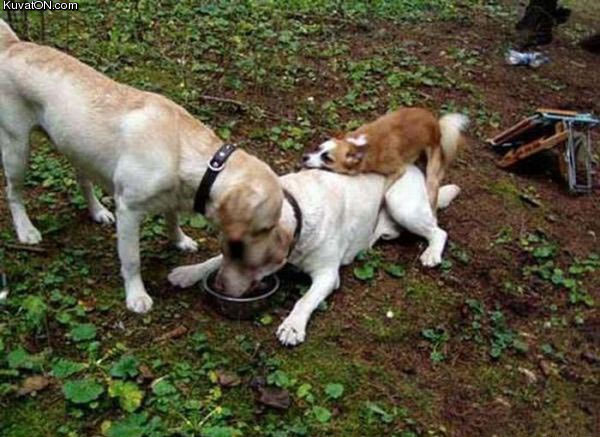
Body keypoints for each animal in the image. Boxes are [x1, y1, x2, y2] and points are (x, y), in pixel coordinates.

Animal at [0, 19, 287, 313]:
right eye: (264, 229)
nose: (280, 257)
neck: (185, 152)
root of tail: (13, 45)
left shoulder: (172, 197)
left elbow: (172, 220)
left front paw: (180, 240)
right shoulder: (129, 210)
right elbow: (132, 260)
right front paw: (136, 295)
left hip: (77, 149)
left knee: (83, 182)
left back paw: (98, 211)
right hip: (17, 147)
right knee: (13, 193)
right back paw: (26, 230)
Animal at [169, 165, 460, 345]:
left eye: (246, 260)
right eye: (228, 251)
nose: (219, 287)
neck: (297, 209)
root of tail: (415, 167)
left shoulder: (328, 275)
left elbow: (304, 300)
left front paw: (292, 326)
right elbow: (212, 261)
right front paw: (188, 272)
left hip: (401, 202)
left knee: (439, 231)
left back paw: (432, 253)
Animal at [302, 107, 468, 209]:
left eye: (327, 159)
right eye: (318, 148)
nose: (304, 157)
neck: (358, 146)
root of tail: (436, 126)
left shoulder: (398, 170)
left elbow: (384, 190)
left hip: (431, 177)